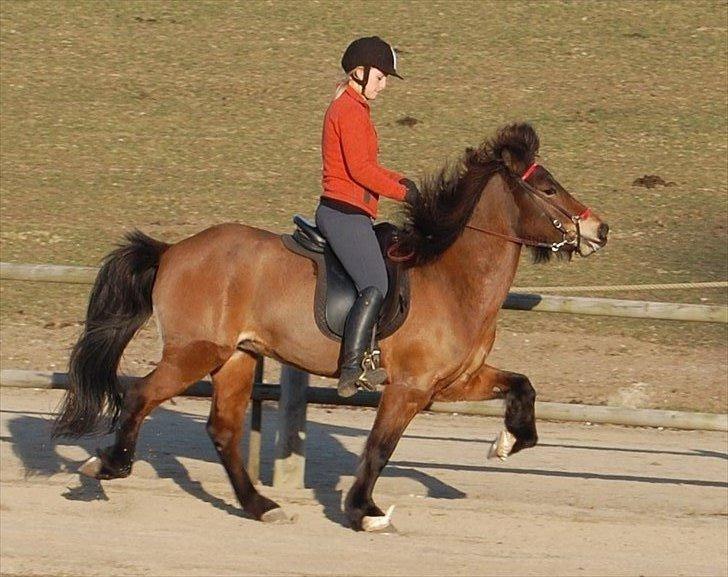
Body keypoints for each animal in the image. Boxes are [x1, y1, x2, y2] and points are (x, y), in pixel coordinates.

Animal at [52, 121, 608, 532]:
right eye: (547, 188)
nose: (599, 229)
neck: (453, 277)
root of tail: (173, 251)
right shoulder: (408, 388)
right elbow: (380, 447)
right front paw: (365, 513)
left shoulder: (452, 383)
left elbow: (523, 387)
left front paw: (507, 442)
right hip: (195, 353)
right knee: (139, 394)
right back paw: (106, 466)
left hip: (238, 358)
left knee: (223, 430)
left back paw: (262, 507)